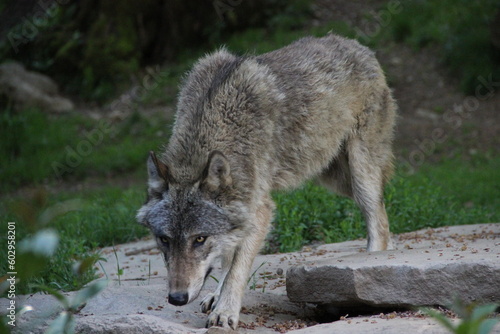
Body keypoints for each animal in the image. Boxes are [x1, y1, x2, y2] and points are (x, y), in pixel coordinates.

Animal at [135, 34, 396, 328]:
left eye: (200, 239)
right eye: (164, 240)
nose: (177, 298)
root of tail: (357, 45)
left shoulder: (260, 210)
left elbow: (236, 268)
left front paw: (225, 311)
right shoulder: (242, 209)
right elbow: (229, 258)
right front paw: (217, 296)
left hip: (360, 173)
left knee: (378, 219)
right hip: (335, 179)